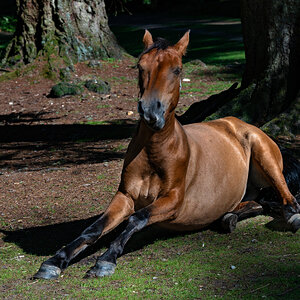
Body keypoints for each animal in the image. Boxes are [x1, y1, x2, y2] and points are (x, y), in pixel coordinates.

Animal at [33, 29, 300, 278]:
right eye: (140, 66)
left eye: (177, 69)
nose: (151, 112)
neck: (154, 153)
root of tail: (237, 123)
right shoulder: (124, 196)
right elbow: (94, 228)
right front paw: (54, 262)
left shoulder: (173, 201)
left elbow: (136, 219)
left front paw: (105, 261)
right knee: (258, 202)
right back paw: (228, 217)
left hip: (266, 157)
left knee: (288, 200)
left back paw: (289, 216)